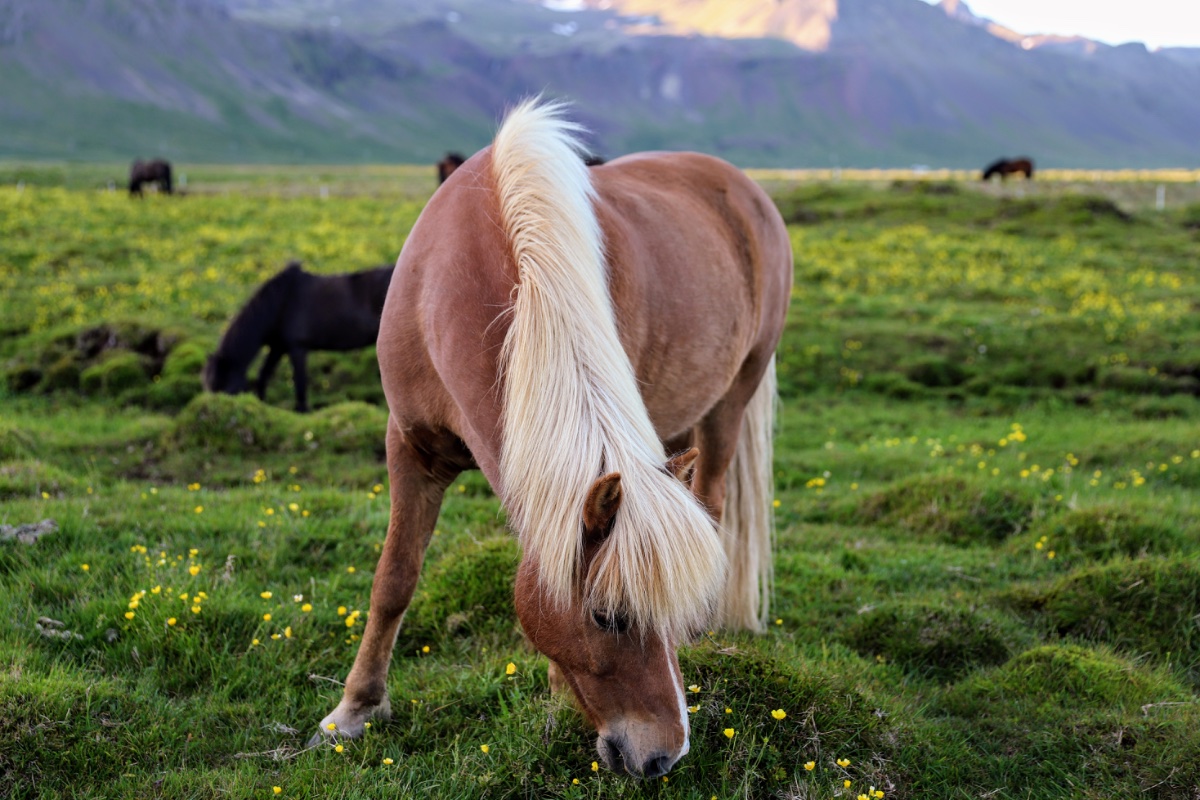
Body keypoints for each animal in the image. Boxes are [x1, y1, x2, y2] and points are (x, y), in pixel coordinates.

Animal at [202, 262, 394, 412]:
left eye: (228, 389)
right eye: (208, 388)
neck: (280, 303)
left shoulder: (297, 348)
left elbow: (300, 383)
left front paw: (302, 411)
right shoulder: (278, 347)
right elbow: (263, 375)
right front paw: (261, 403)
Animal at [309, 100, 792, 779]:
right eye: (607, 617)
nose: (664, 757)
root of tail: (745, 189)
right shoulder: (410, 447)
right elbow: (394, 579)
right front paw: (352, 712)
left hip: (731, 397)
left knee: (716, 500)